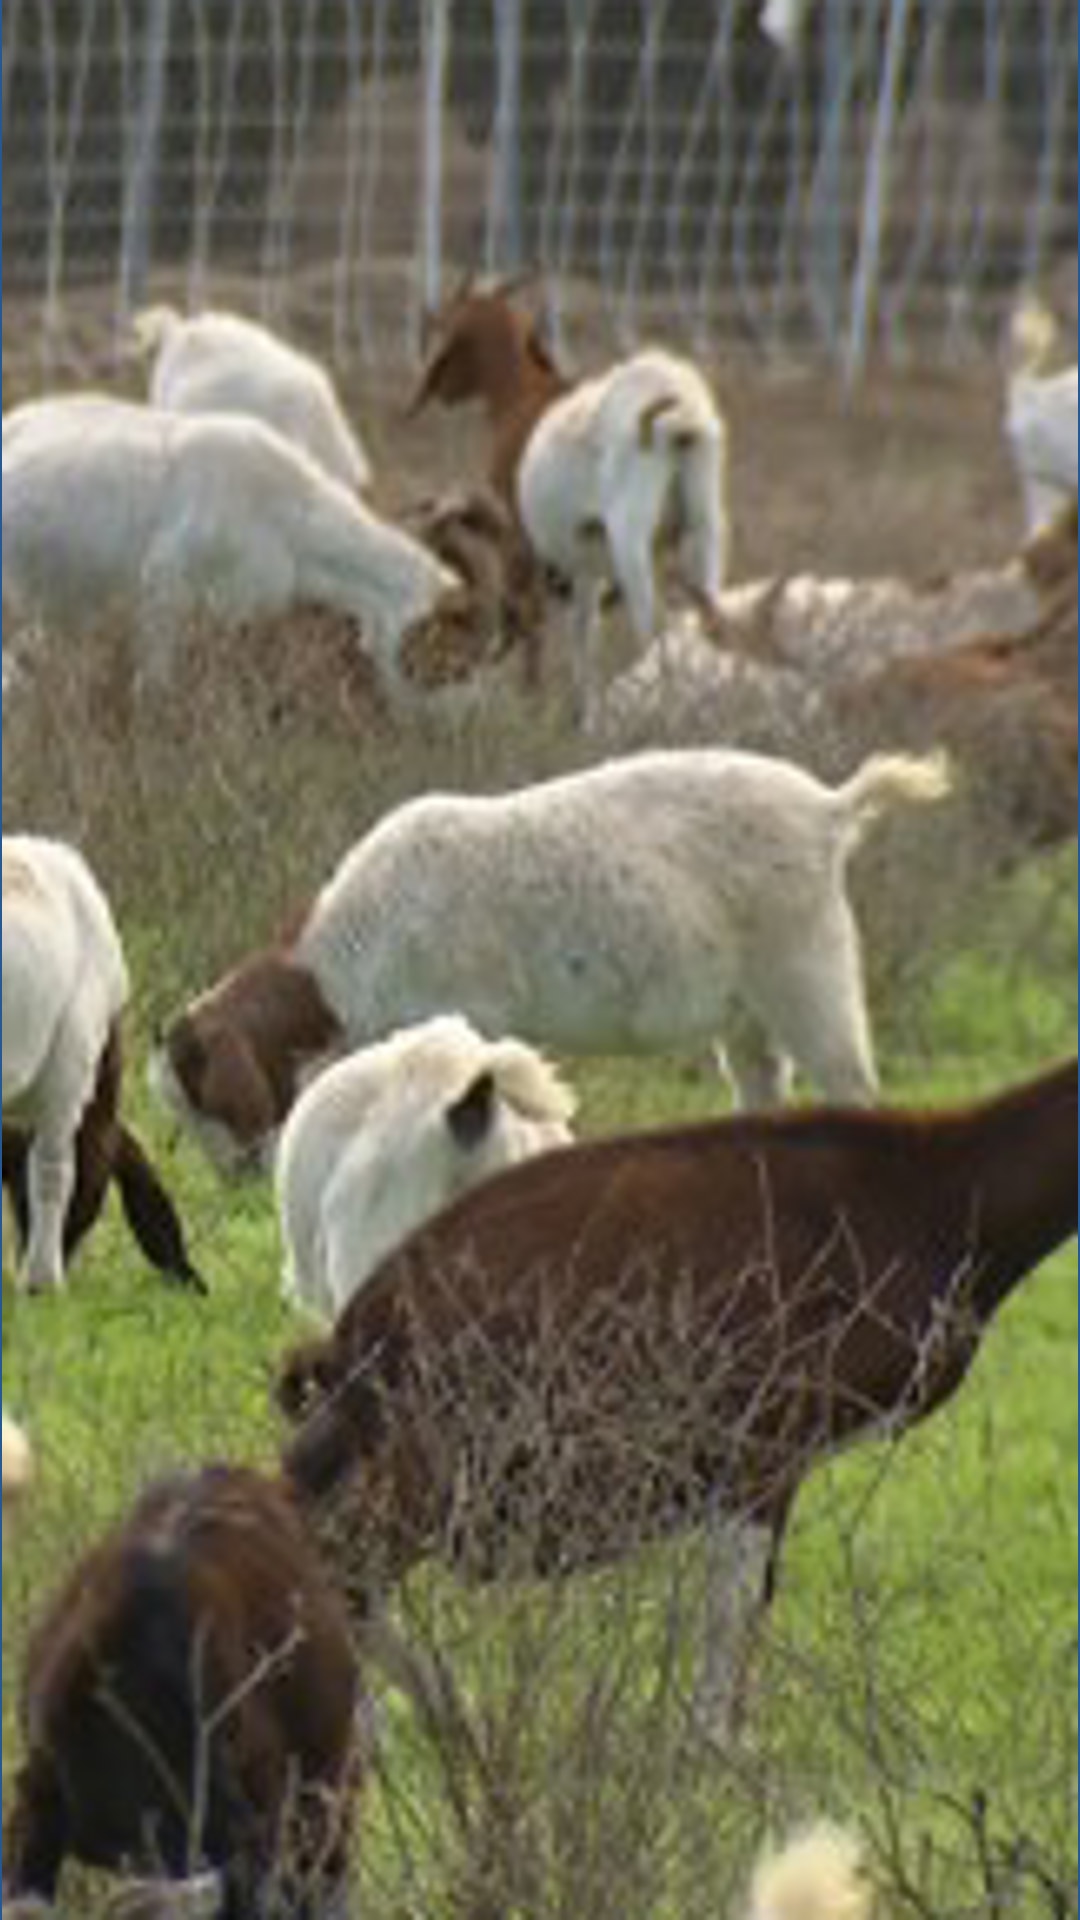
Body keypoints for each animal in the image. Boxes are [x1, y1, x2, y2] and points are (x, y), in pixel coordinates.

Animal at [153, 746, 951, 1177]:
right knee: (762, 1084)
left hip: (805, 964)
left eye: (206, 1097)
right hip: (746, 1007)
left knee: (849, 1080)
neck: (345, 958)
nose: (239, 1178)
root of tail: (830, 808)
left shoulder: (469, 1007)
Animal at [278, 1057, 1076, 1733]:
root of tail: (364, 1323)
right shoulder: (763, 1447)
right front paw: (718, 1757)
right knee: (340, 1571)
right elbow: (733, 1614)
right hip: (437, 1467)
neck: (939, 1193)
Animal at [409, 281, 730, 719]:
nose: (439, 392)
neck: (521, 396)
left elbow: (533, 623)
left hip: (632, 541)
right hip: (704, 529)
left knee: (653, 628)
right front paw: (584, 716)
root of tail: (677, 413)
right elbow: (582, 635)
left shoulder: (520, 542)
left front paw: (533, 704)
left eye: (447, 325)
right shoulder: (585, 559)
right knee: (712, 623)